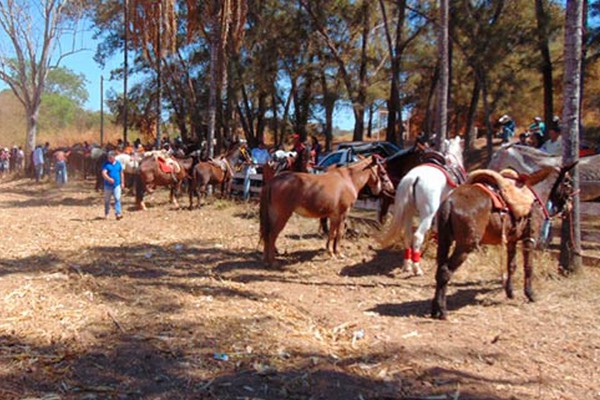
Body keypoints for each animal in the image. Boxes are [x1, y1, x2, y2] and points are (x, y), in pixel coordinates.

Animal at [258, 155, 394, 266]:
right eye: (383, 172)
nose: (391, 188)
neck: (347, 180)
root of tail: (274, 181)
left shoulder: (334, 216)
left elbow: (331, 233)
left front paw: (330, 252)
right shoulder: (343, 215)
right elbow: (339, 233)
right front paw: (338, 253)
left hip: (273, 214)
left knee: (267, 234)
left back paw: (266, 260)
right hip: (283, 216)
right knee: (272, 234)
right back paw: (273, 261)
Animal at [380, 136, 464, 276]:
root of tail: (414, 178)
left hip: (408, 212)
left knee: (407, 235)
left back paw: (407, 265)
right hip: (426, 215)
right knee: (417, 236)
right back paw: (417, 268)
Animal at [432, 161, 576, 320]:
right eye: (568, 182)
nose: (570, 206)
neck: (534, 197)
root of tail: (450, 201)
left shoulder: (512, 240)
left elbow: (511, 265)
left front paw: (510, 292)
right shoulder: (529, 239)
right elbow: (528, 267)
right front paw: (530, 294)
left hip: (444, 241)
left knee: (439, 270)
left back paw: (435, 309)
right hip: (465, 246)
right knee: (445, 271)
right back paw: (442, 311)